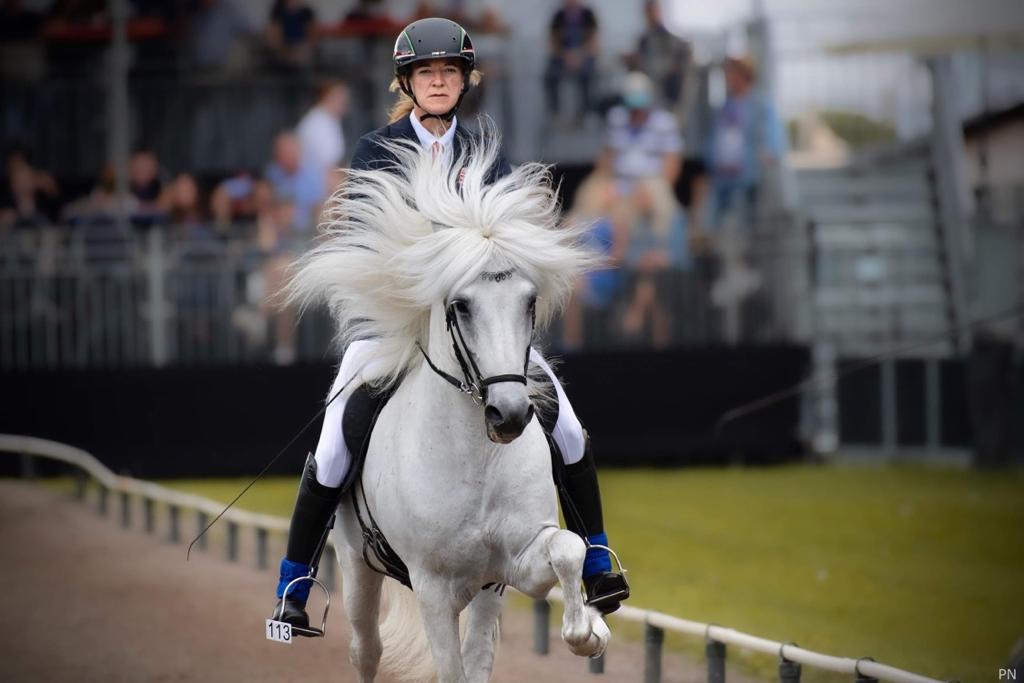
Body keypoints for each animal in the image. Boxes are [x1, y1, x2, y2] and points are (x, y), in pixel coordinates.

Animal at [288, 135, 606, 683]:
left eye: (529, 302)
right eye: (460, 305)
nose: (509, 416)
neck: (473, 458)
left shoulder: (503, 571)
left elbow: (569, 547)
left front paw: (587, 631)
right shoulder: (433, 587)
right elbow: (450, 672)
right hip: (355, 564)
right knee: (365, 648)